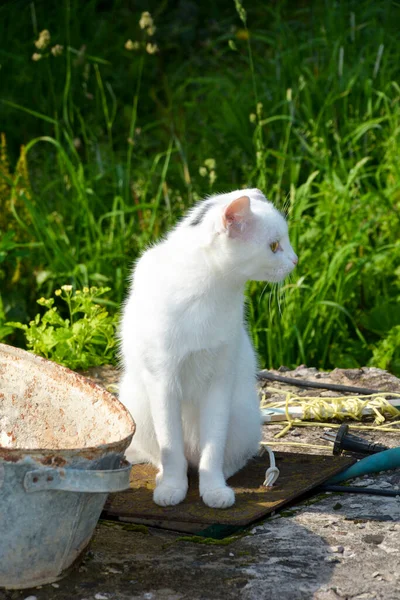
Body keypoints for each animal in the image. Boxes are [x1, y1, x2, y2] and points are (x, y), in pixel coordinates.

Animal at [119, 188, 296, 506]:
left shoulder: (220, 379)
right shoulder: (162, 381)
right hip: (139, 404)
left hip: (243, 413)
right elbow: (170, 446)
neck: (209, 289)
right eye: (274, 245)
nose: (295, 260)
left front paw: (214, 489)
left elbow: (212, 447)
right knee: (164, 454)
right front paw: (172, 487)